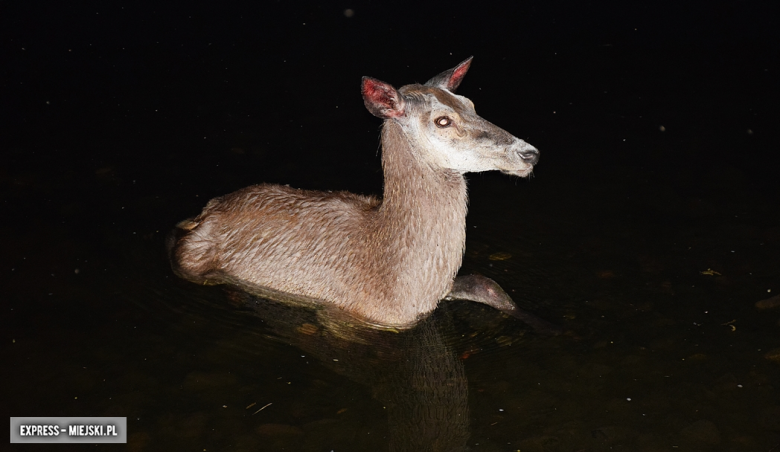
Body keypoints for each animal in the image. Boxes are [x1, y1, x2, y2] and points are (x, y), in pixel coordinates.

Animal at [168, 57, 556, 332]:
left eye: (472, 103)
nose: (529, 153)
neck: (402, 289)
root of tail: (200, 214)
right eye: (442, 120)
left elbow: (490, 285)